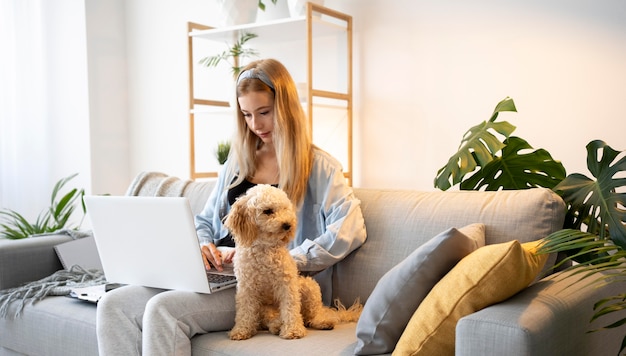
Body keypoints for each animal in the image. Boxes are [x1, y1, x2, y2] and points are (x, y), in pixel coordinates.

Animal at [224, 184, 360, 340]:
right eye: (267, 211)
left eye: (284, 209)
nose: (288, 225)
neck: (265, 249)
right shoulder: (246, 289)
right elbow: (244, 311)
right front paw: (241, 330)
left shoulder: (287, 284)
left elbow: (291, 308)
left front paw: (293, 330)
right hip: (266, 309)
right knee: (272, 320)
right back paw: (277, 326)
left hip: (309, 286)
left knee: (312, 315)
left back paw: (322, 322)